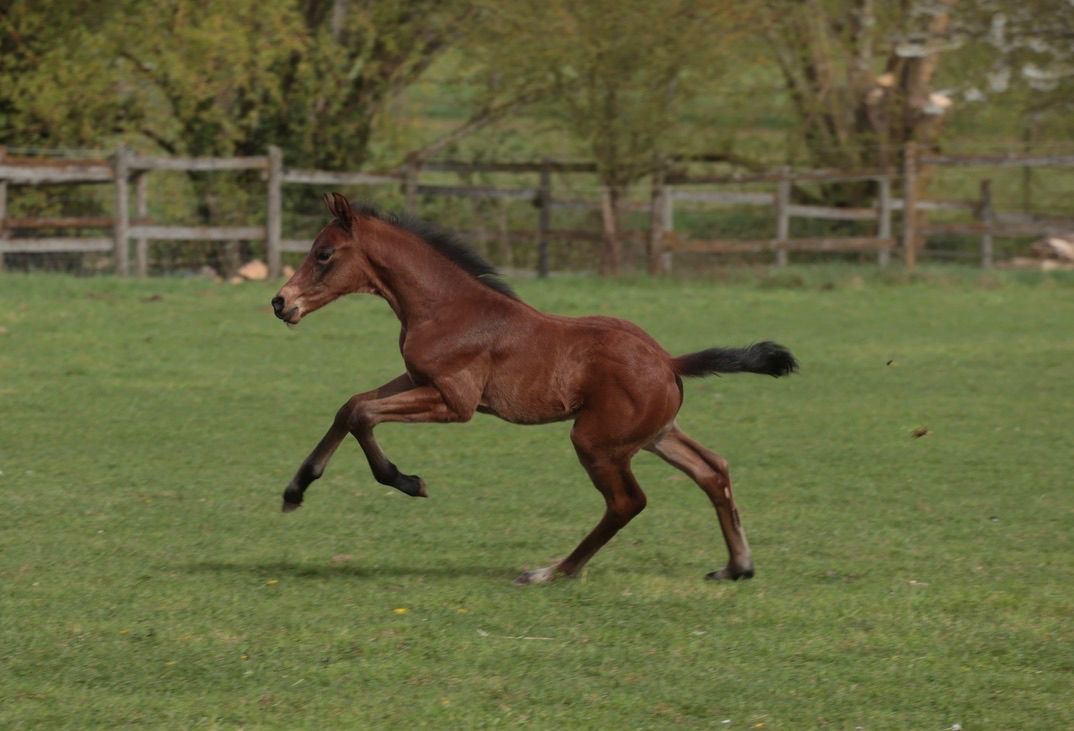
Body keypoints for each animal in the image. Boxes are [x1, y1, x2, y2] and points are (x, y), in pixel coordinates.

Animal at [271, 193, 797, 585]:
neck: (446, 306)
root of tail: (668, 361)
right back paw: (737, 567)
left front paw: (408, 481)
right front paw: (296, 490)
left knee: (628, 502)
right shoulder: (419, 380)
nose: (280, 302)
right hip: (655, 434)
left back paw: (552, 572)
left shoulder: (455, 401)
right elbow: (351, 405)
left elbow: (363, 414)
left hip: (597, 440)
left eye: (323, 254)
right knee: (712, 469)